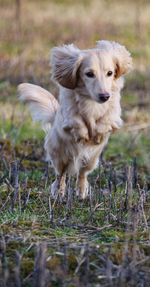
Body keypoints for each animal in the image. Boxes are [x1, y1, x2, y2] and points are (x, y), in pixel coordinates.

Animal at [17, 40, 132, 199]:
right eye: (89, 74)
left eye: (110, 73)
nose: (104, 96)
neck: (92, 102)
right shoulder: (69, 115)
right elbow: (77, 121)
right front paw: (83, 135)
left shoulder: (113, 113)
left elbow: (106, 119)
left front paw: (97, 134)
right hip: (61, 157)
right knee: (61, 175)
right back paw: (58, 192)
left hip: (91, 160)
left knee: (82, 174)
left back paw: (82, 192)